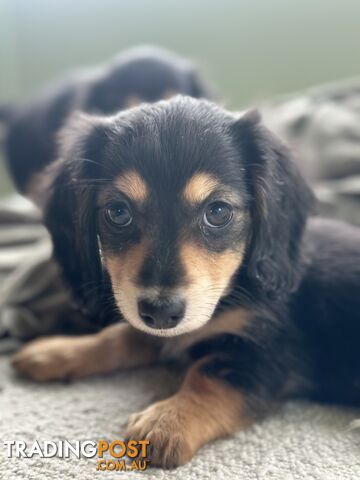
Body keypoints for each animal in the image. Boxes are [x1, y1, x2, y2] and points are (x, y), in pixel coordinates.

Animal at [12, 95, 360, 466]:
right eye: (118, 212)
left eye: (218, 211)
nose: (161, 312)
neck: (235, 289)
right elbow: (119, 335)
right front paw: (58, 351)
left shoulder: (274, 352)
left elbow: (209, 374)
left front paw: (168, 421)